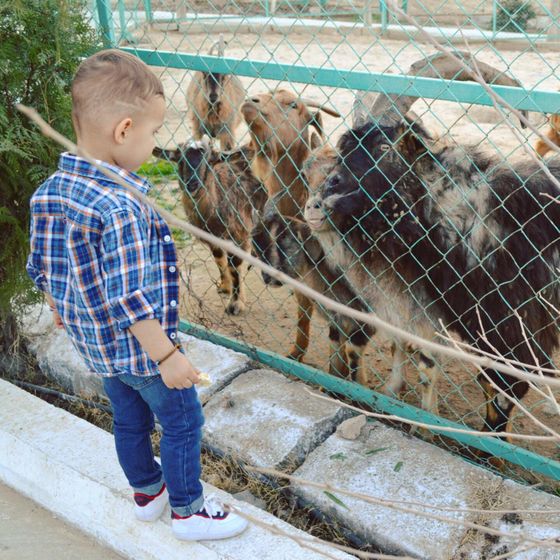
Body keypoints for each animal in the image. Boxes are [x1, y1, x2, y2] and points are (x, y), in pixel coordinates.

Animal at [153, 137, 266, 316]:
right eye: (180, 159)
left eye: (209, 160)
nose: (192, 184)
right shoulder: (212, 237)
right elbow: (219, 258)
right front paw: (225, 287)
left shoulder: (239, 234)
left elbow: (234, 268)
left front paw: (235, 304)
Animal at [306, 51, 560, 438]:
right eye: (344, 148)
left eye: (385, 147)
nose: (317, 204)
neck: (472, 218)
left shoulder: (518, 334)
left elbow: (501, 392)